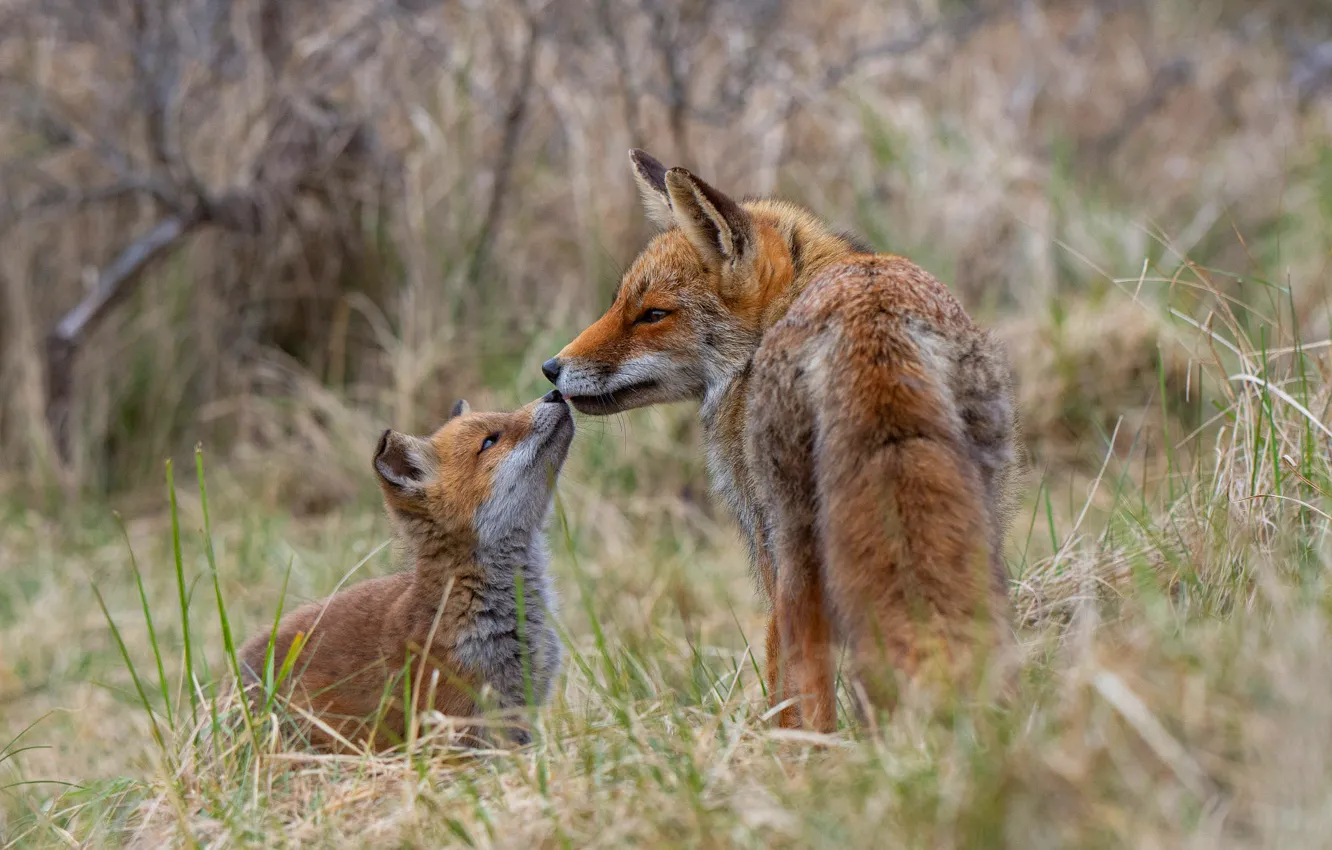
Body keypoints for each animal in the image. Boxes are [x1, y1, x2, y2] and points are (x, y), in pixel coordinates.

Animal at [542, 150, 1018, 732]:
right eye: (617, 305)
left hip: (798, 540)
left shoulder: (765, 540)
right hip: (982, 516)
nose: (551, 368)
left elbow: (780, 668)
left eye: (653, 314)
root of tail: (874, 318)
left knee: (808, 661)